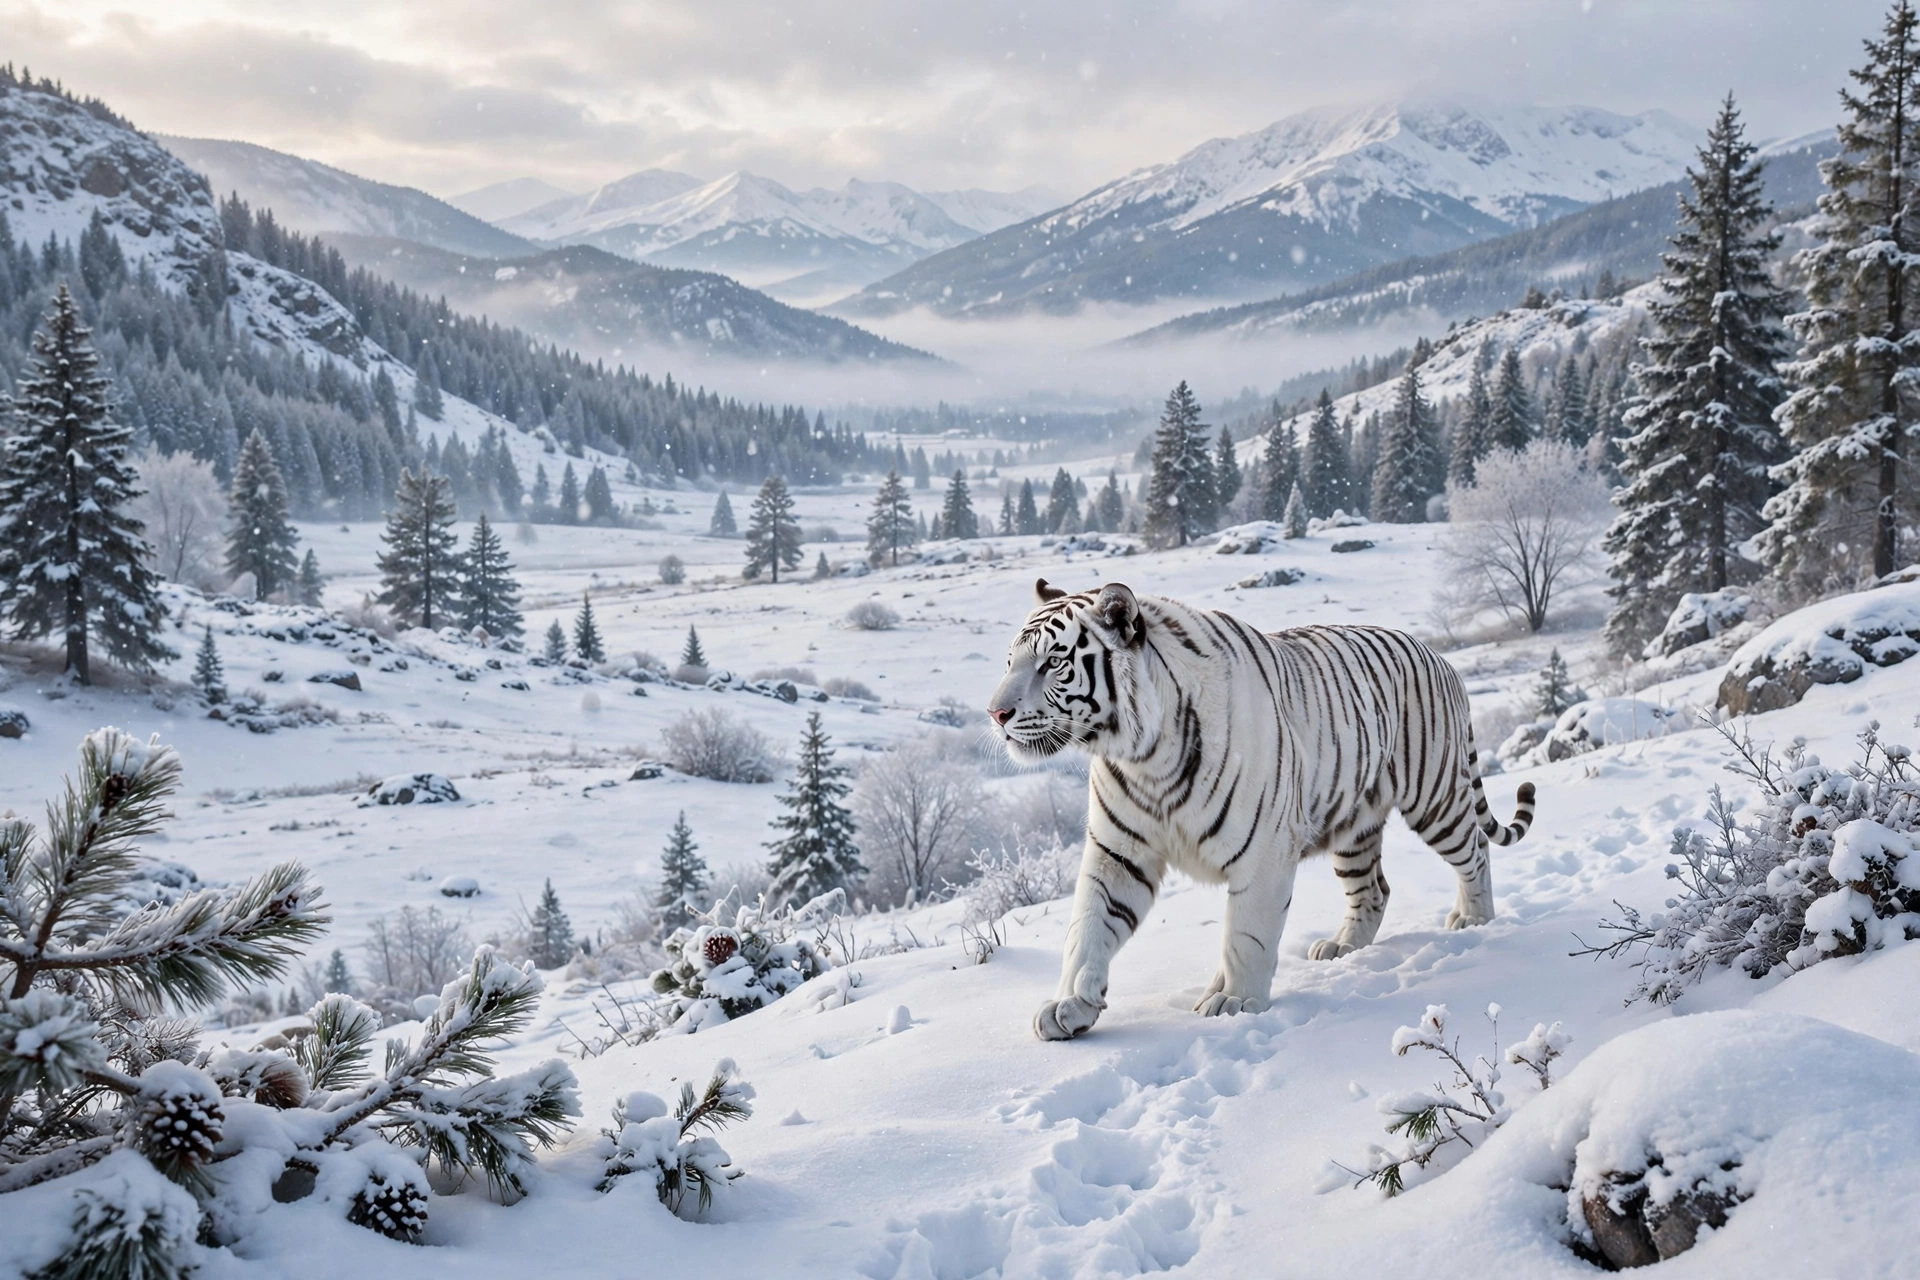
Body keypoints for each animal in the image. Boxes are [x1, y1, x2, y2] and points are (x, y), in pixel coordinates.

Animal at [986, 579, 1536, 1041]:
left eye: (1052, 662)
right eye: (1009, 662)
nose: (996, 713)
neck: (1141, 754)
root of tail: (1439, 656)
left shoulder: (1264, 850)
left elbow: (1246, 933)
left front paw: (1235, 1001)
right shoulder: (1118, 852)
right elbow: (1088, 929)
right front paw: (1071, 1006)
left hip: (1434, 796)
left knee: (1476, 849)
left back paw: (1475, 919)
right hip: (1353, 826)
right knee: (1373, 890)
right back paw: (1342, 947)